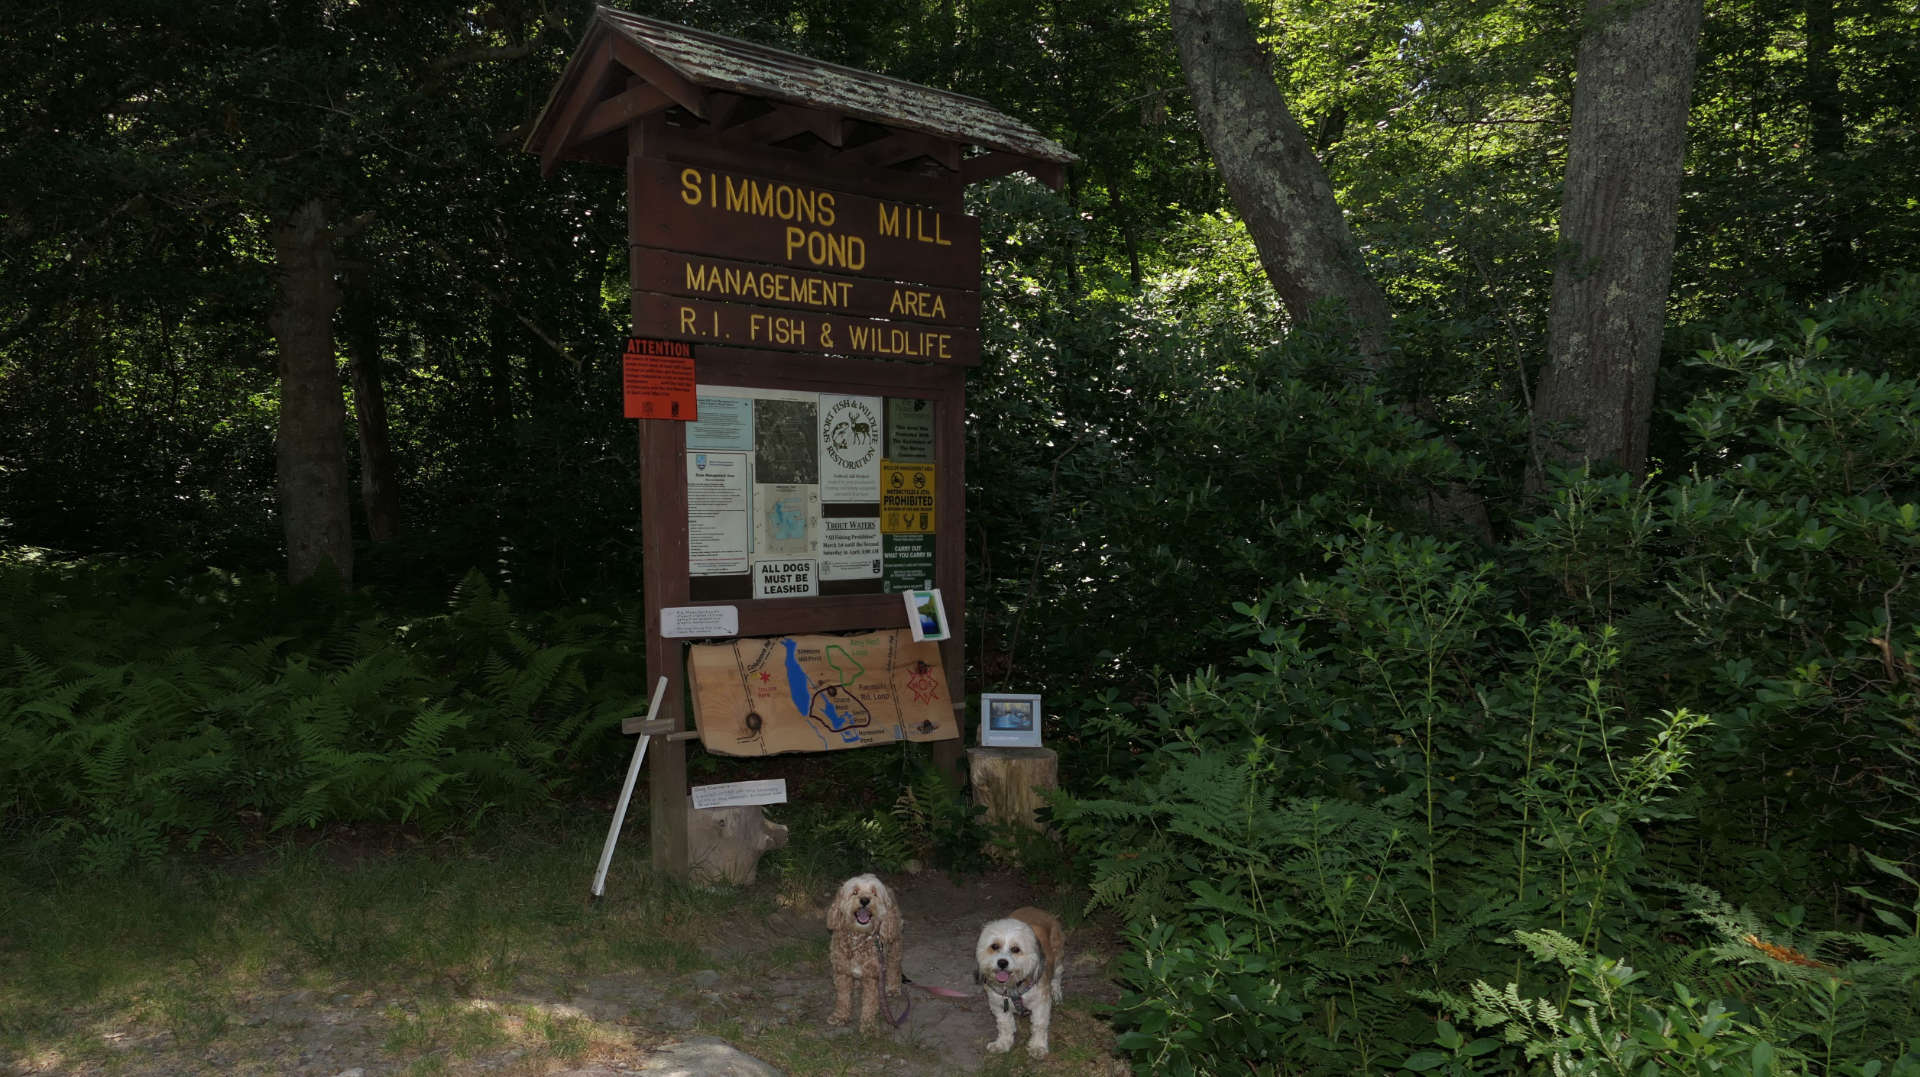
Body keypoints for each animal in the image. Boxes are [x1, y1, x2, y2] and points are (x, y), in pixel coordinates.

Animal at [829, 867, 902, 1029]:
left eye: (874, 893)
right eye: (855, 892)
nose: (864, 900)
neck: (859, 938)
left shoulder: (872, 976)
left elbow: (870, 1002)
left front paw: (868, 1025)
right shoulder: (842, 972)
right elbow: (842, 998)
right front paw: (840, 1016)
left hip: (894, 944)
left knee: (894, 967)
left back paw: (893, 987)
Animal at [975, 902, 1067, 1052]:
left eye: (1015, 949)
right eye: (994, 946)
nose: (1002, 962)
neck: (1013, 987)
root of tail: (1038, 910)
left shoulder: (1040, 1003)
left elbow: (1039, 1025)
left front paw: (1038, 1046)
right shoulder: (998, 1004)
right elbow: (1005, 1025)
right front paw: (1003, 1043)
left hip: (1058, 958)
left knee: (1057, 977)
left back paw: (1057, 994)